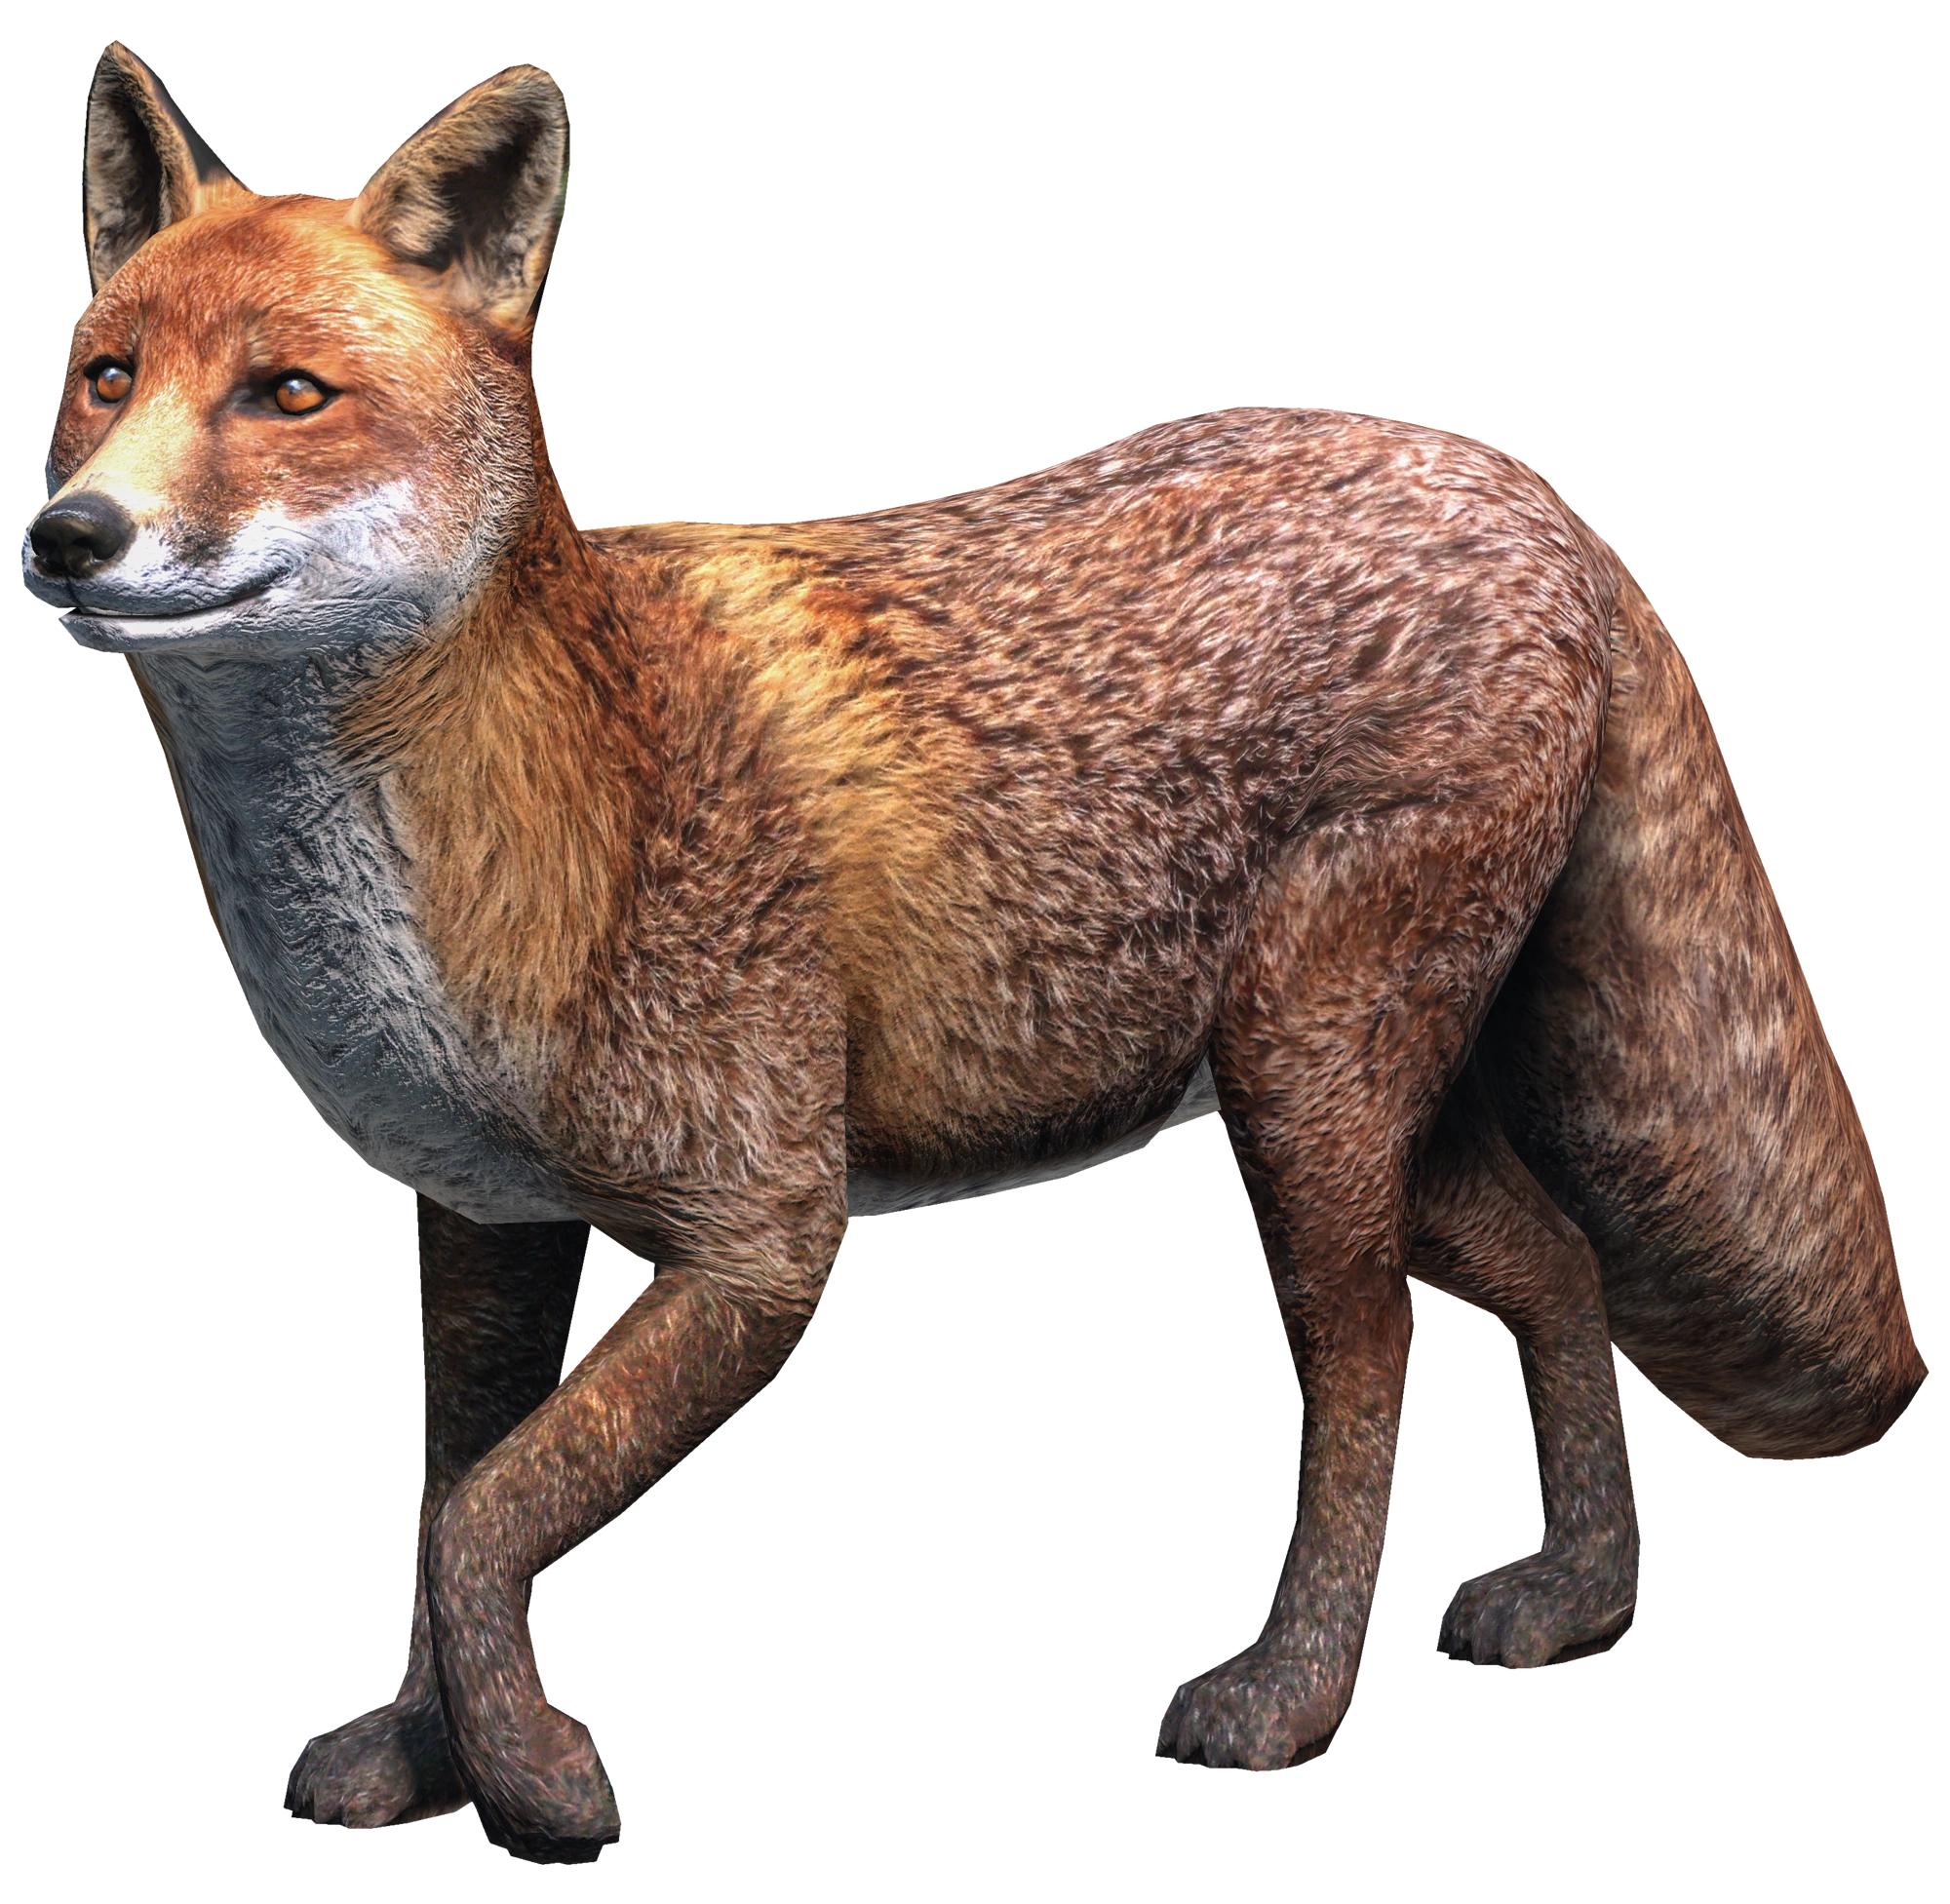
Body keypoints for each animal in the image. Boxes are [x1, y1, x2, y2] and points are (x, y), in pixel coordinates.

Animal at [20, 45, 1920, 1859]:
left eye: (286, 394)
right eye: (107, 377)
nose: (70, 536)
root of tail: (1521, 483)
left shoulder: (760, 1234)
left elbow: (483, 1519)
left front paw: (539, 1778)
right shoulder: (486, 1229)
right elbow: (436, 1501)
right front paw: (426, 1753)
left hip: (1301, 1085)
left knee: (1369, 1351)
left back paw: (1290, 1689)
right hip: (1390, 1097)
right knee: (1557, 1260)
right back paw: (1583, 1589)